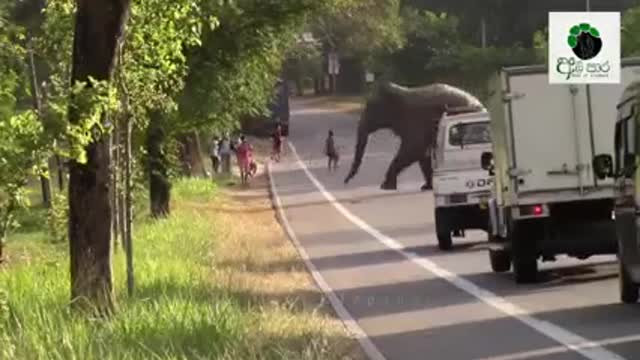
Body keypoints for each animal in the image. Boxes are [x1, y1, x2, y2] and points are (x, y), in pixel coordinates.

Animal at [344, 82, 484, 191]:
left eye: (370, 108)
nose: (345, 181)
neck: (401, 92)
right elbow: (423, 155)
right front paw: (427, 187)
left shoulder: (415, 122)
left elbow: (413, 150)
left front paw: (385, 186)